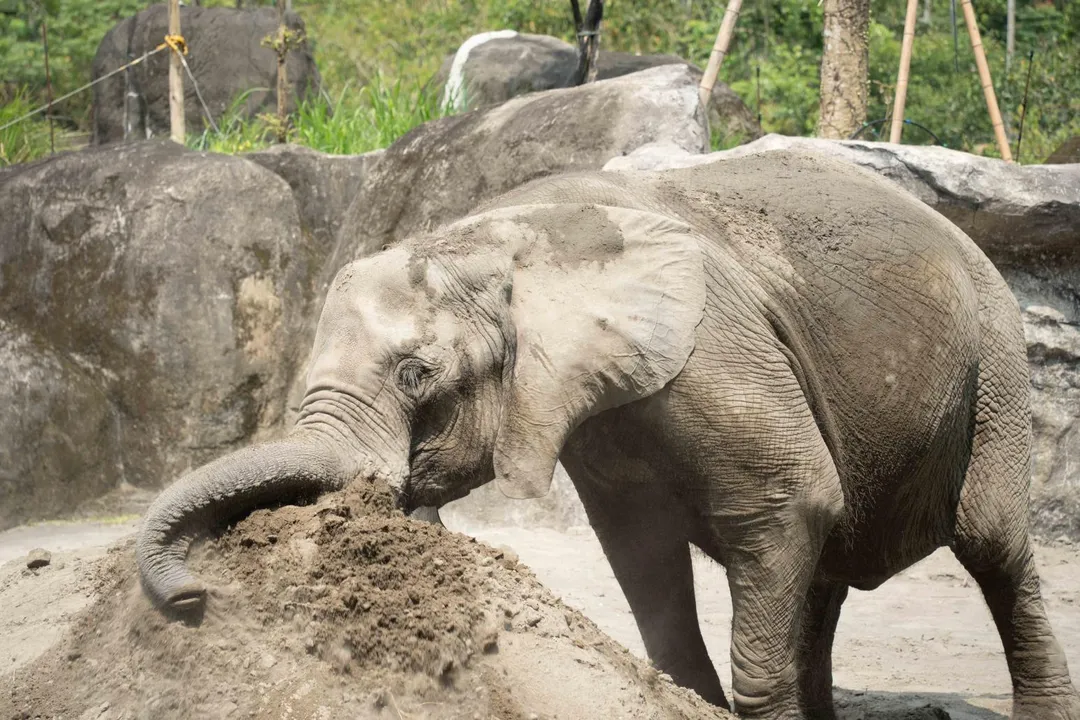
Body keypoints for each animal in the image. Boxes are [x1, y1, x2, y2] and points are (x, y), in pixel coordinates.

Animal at [136, 150, 1079, 719]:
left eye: (418, 376)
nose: (195, 597)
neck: (498, 238)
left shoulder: (711, 346)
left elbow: (787, 499)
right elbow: (641, 549)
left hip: (994, 356)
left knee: (989, 543)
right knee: (827, 571)